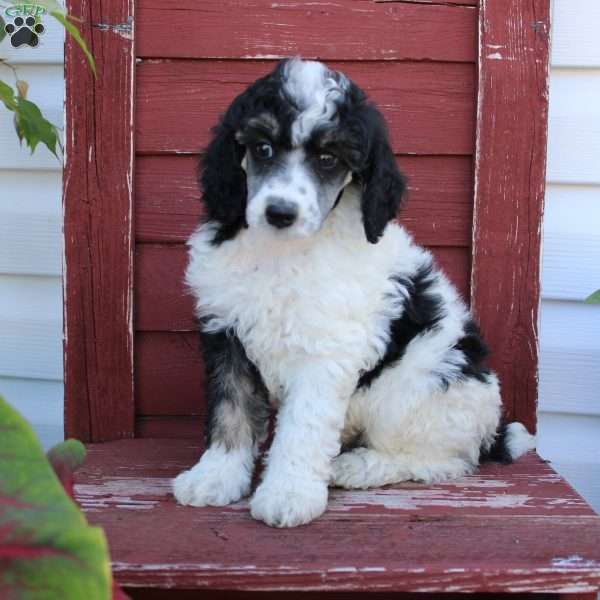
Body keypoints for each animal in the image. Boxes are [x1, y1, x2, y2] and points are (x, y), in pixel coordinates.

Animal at [173, 56, 536, 524]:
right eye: (262, 148)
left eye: (328, 158)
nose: (280, 212)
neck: (283, 250)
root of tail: (492, 430)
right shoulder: (227, 332)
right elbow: (229, 408)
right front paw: (215, 477)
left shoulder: (325, 352)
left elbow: (303, 427)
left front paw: (289, 493)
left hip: (418, 391)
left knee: (445, 460)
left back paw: (356, 466)